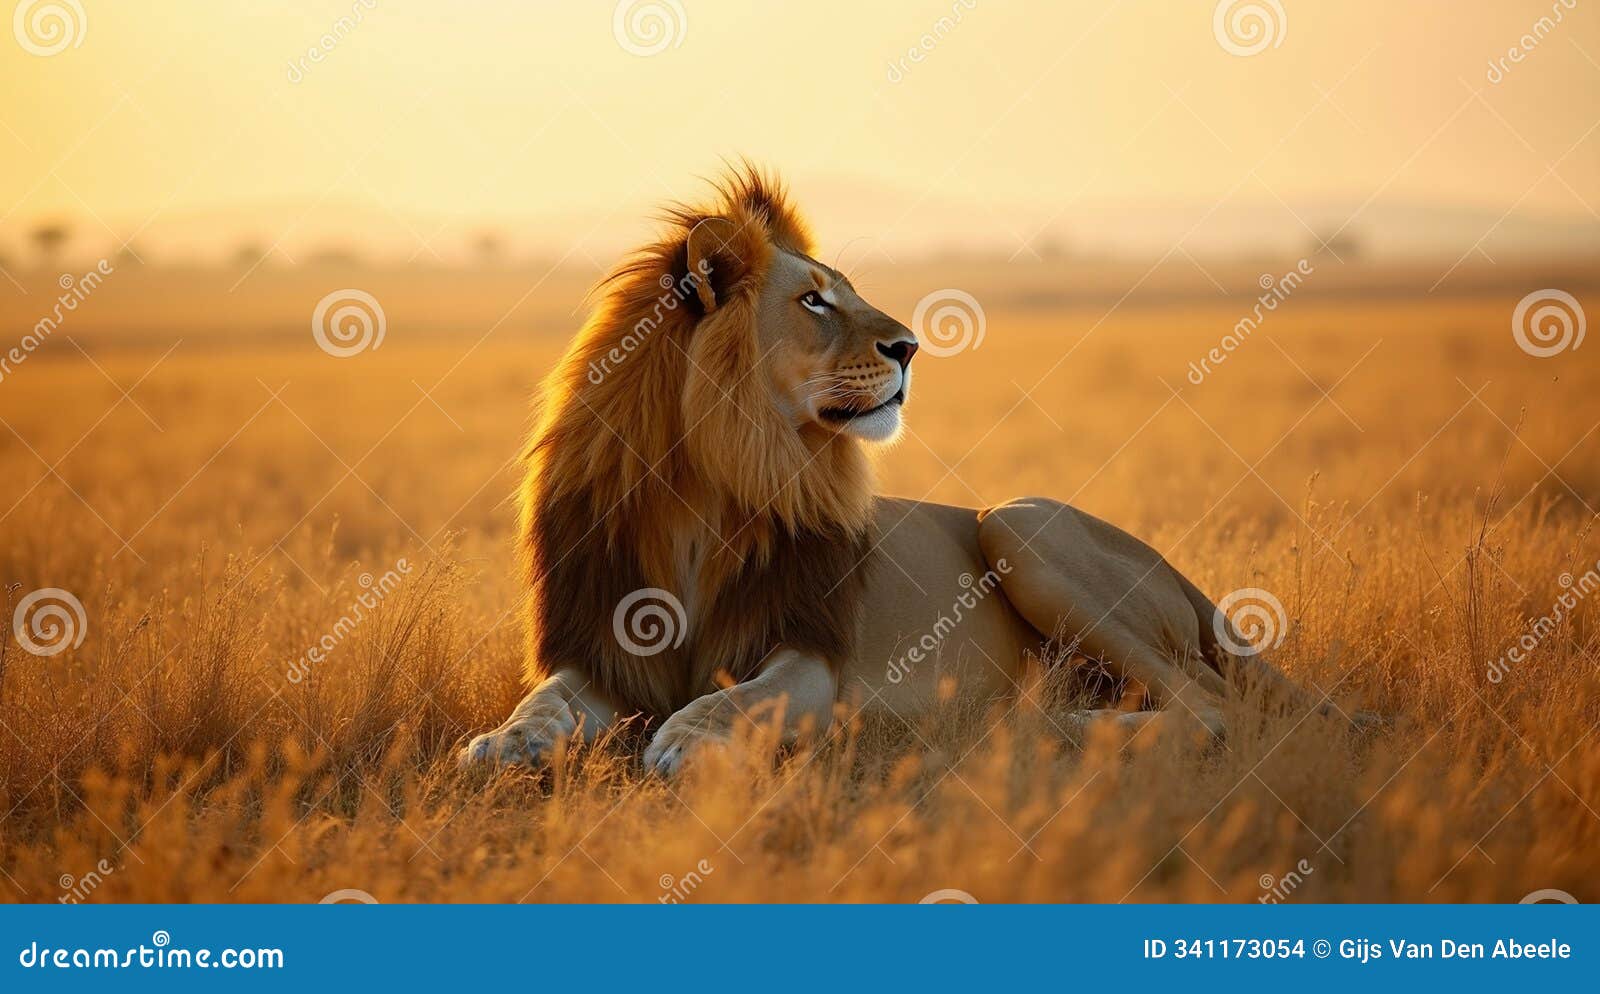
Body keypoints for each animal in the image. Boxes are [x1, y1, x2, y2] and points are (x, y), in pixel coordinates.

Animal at [464, 164, 1350, 774]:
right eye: (814, 300)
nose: (912, 347)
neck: (705, 487)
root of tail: (1188, 584)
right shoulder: (601, 650)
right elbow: (543, 703)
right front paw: (500, 743)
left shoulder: (809, 656)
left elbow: (737, 699)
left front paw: (684, 738)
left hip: (1020, 526)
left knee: (1211, 709)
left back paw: (1037, 730)